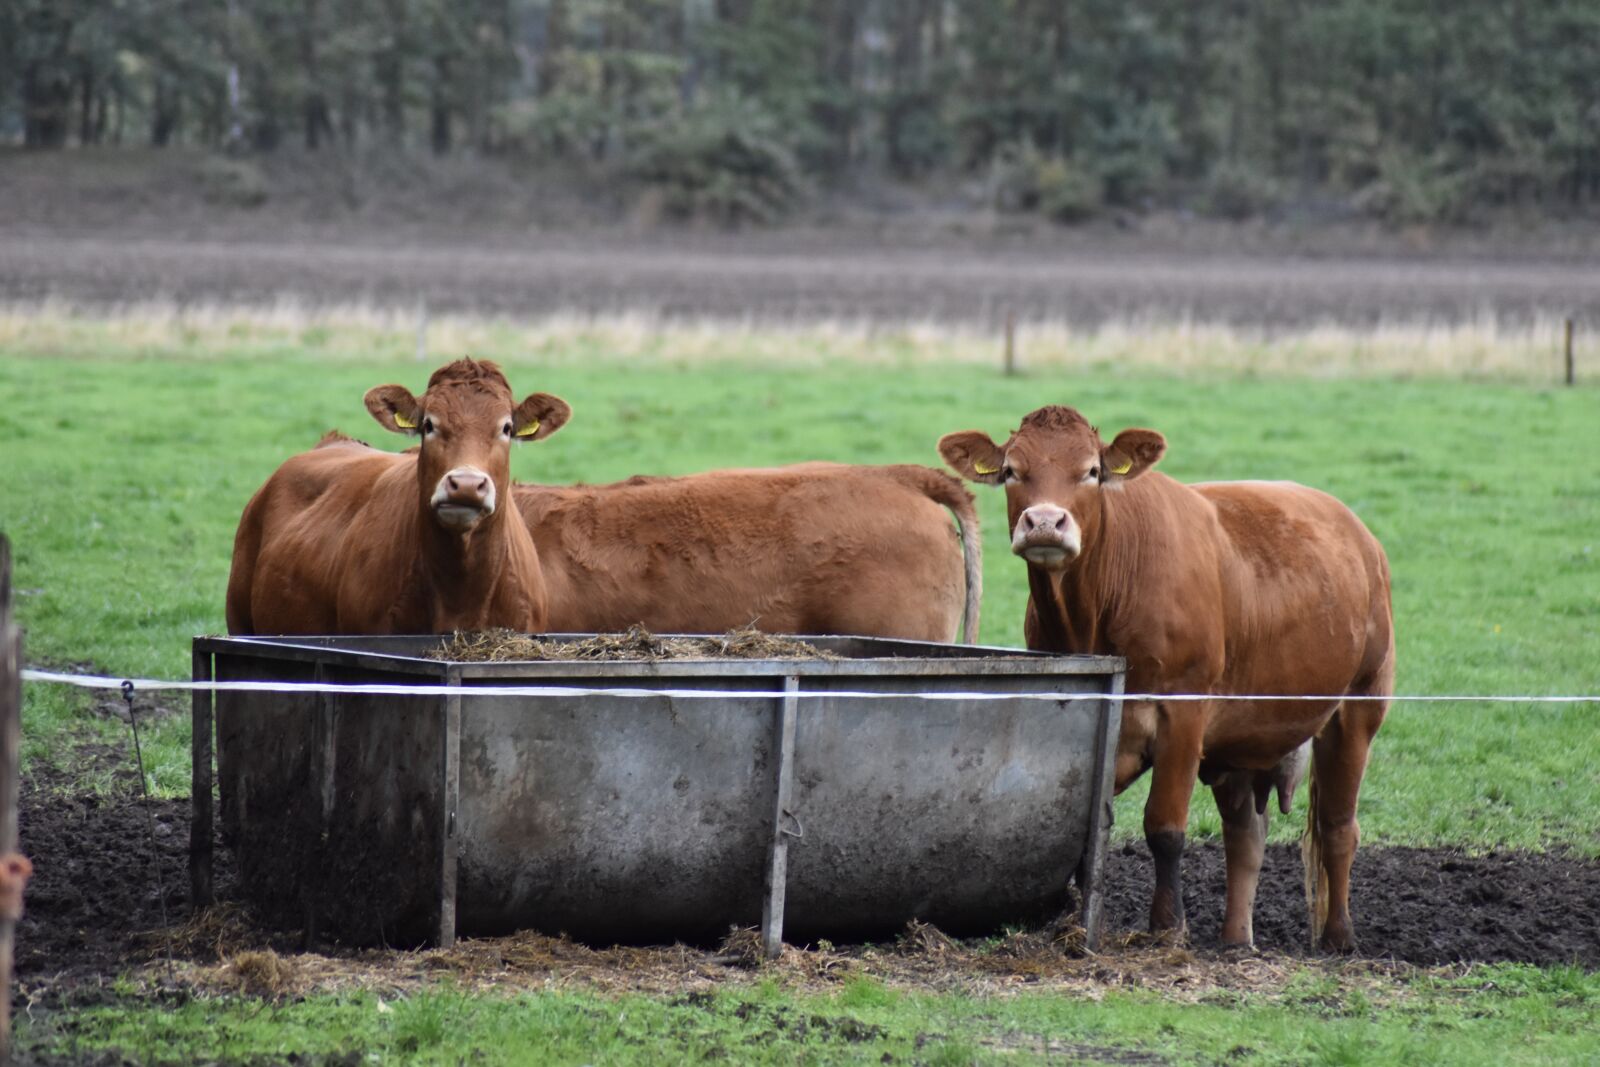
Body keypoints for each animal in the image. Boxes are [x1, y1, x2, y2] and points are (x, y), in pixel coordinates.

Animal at [938, 405, 1392, 952]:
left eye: (1092, 471)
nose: (1045, 522)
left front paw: (1167, 927)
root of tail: (1359, 534)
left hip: (1358, 708)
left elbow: (1165, 827)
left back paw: (1339, 937)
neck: (1095, 611)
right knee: (1246, 835)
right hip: (1241, 738)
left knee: (1339, 826)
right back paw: (1235, 941)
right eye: (1010, 471)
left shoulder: (1184, 711)